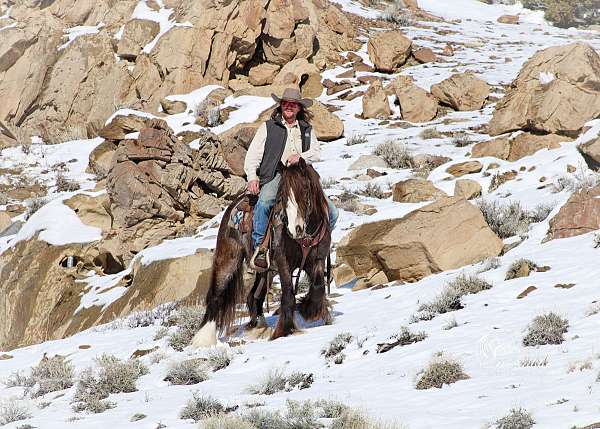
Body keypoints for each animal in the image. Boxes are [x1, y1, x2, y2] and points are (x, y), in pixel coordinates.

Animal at [192, 159, 330, 346]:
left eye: (305, 189)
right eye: (282, 196)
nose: (295, 229)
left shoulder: (317, 259)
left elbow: (318, 287)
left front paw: (310, 311)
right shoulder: (283, 263)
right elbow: (288, 294)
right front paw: (283, 331)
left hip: (265, 271)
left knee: (254, 296)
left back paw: (259, 326)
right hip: (228, 258)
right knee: (216, 294)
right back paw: (204, 339)